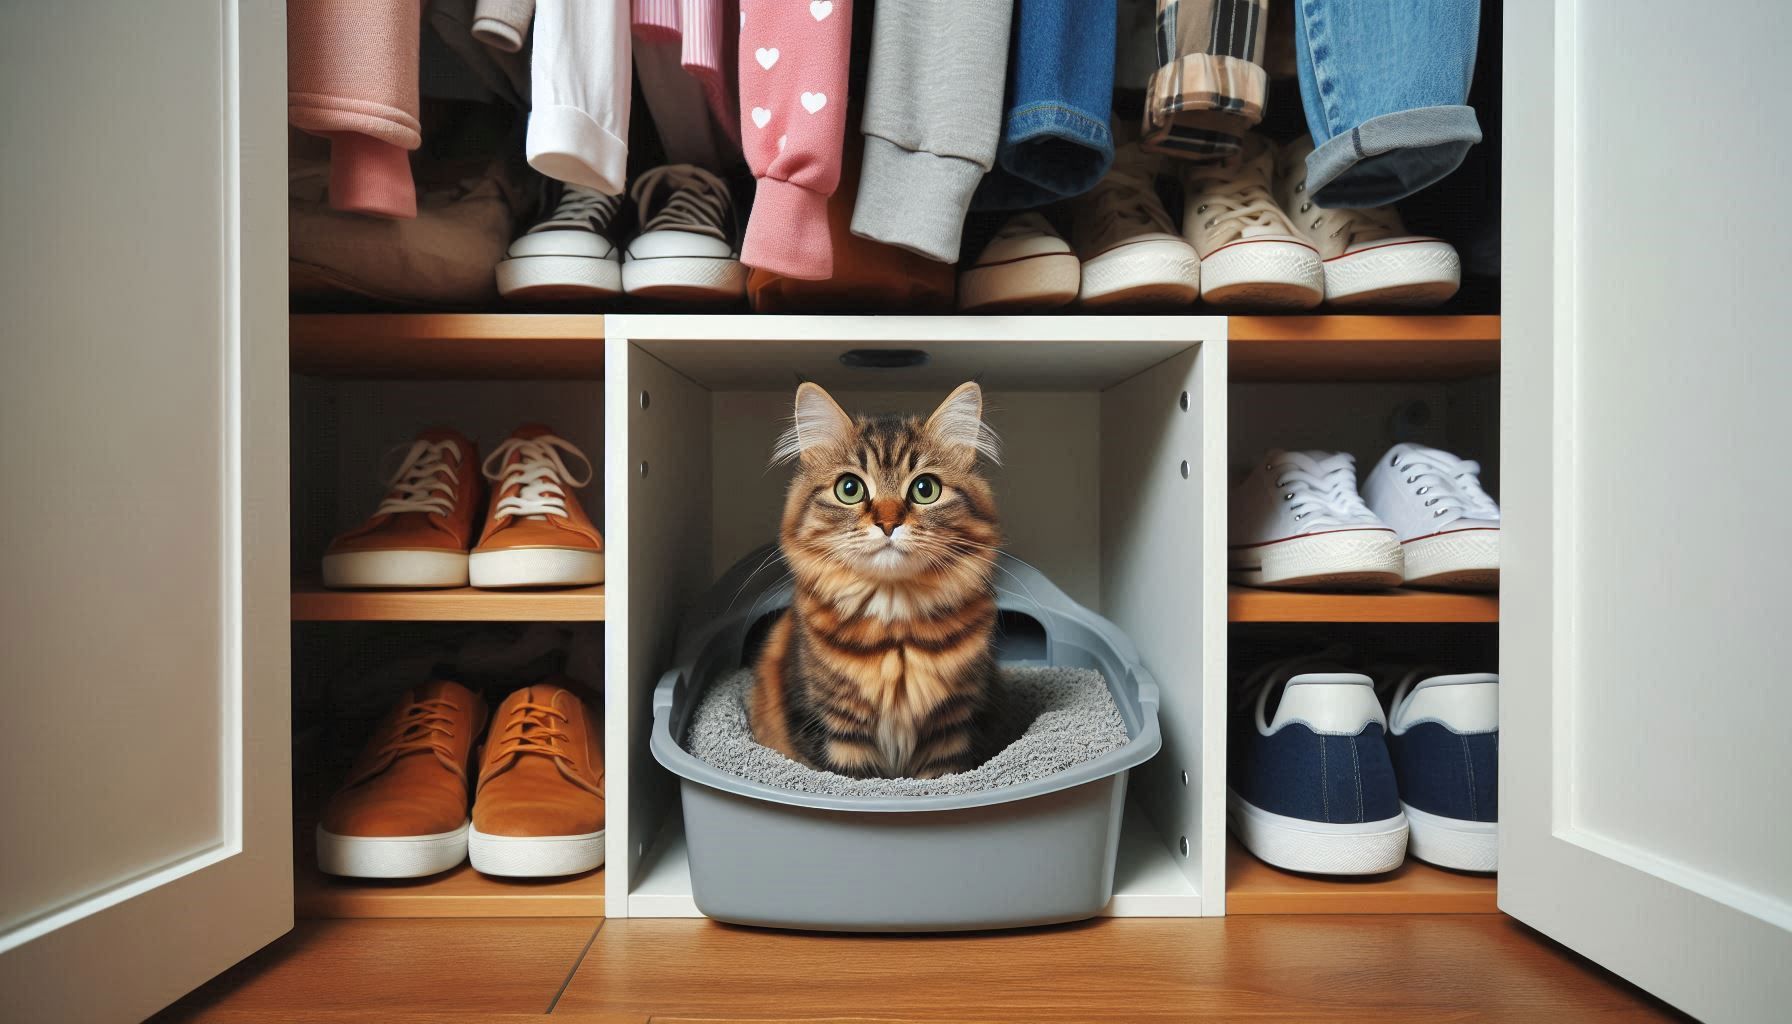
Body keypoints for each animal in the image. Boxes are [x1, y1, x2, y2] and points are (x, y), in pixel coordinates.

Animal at [745, 381, 1010, 778]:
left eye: (925, 489)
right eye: (849, 489)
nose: (888, 523)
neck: (895, 636)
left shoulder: (952, 730)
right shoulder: (835, 729)